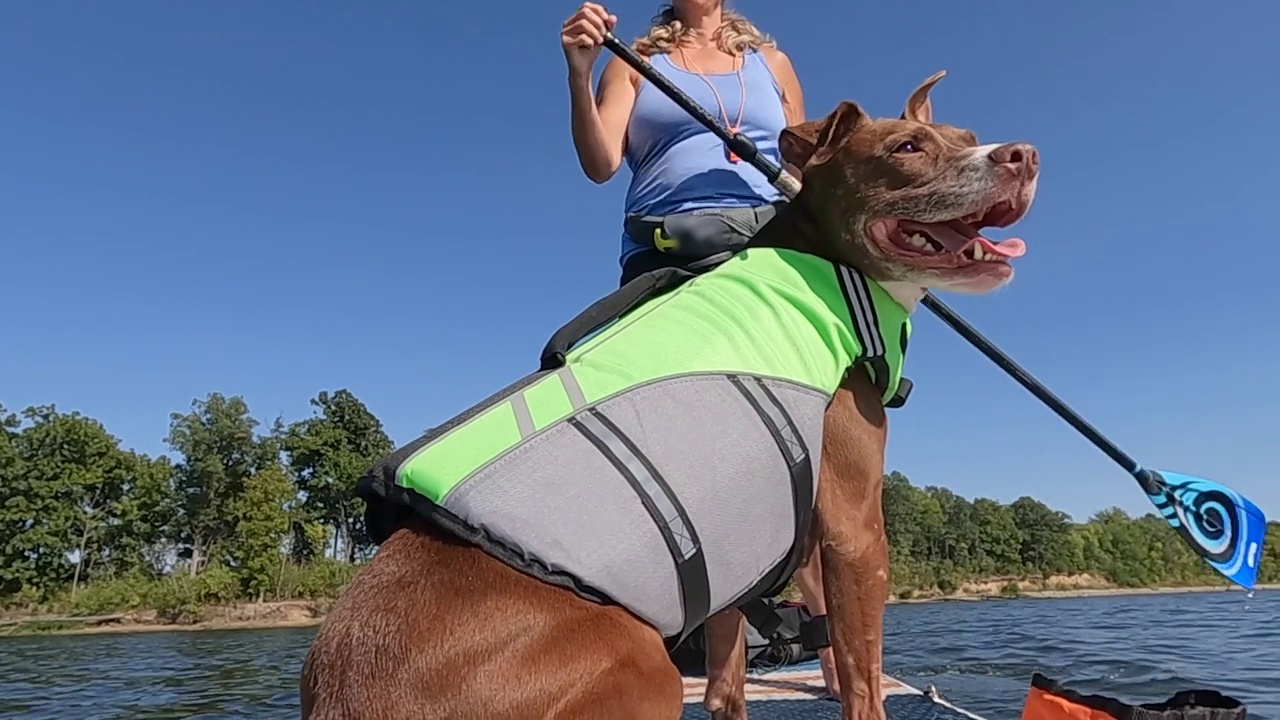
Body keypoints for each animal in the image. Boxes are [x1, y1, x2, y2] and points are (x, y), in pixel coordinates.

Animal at [299, 71, 1039, 717]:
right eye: (907, 148)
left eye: (967, 134)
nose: (1024, 154)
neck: (820, 256)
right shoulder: (854, 525)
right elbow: (862, 674)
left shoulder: (736, 564)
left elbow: (726, 675)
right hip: (638, 659)